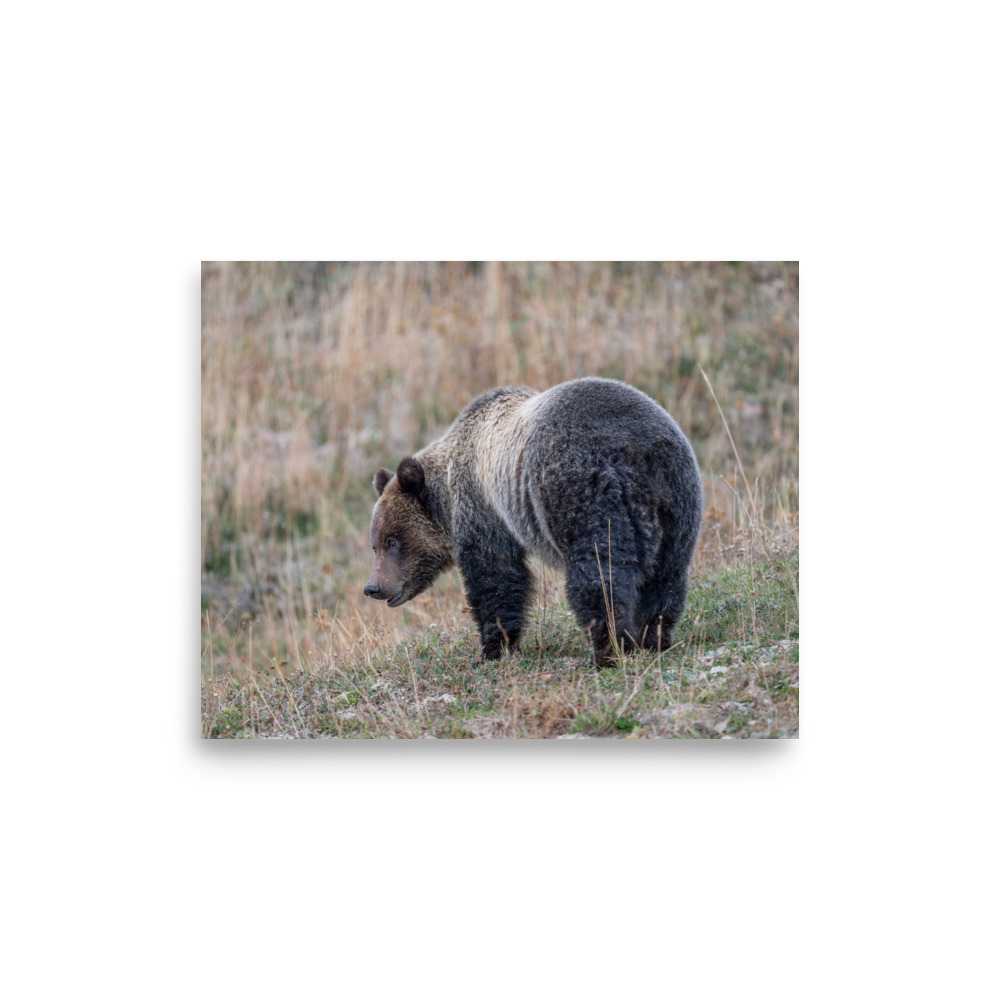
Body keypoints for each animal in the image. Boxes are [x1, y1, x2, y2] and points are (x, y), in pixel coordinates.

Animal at [363, 376, 703, 667]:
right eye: (375, 544)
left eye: (392, 540)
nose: (373, 587)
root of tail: (637, 452)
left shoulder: (484, 509)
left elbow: (496, 577)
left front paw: (491, 649)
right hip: (678, 501)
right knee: (665, 576)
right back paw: (652, 638)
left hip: (582, 491)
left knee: (599, 574)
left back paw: (609, 650)